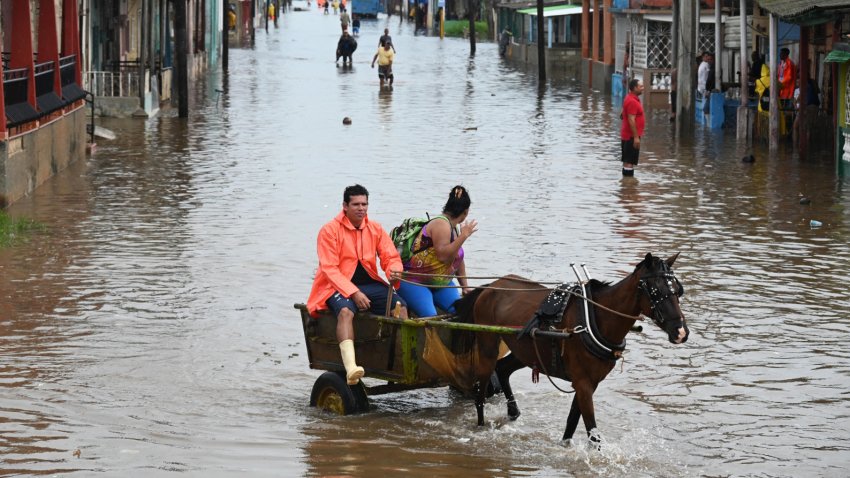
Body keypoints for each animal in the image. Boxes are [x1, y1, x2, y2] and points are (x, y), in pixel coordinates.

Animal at [454, 254, 684, 444]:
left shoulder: (589, 383)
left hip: (526, 349)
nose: (681, 331)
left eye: (677, 290)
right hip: (487, 347)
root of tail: (492, 286)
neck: (595, 319)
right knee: (480, 392)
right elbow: (593, 434)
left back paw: (513, 411)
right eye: (656, 291)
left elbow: (572, 422)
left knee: (502, 368)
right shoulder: (583, 384)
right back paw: (481, 426)